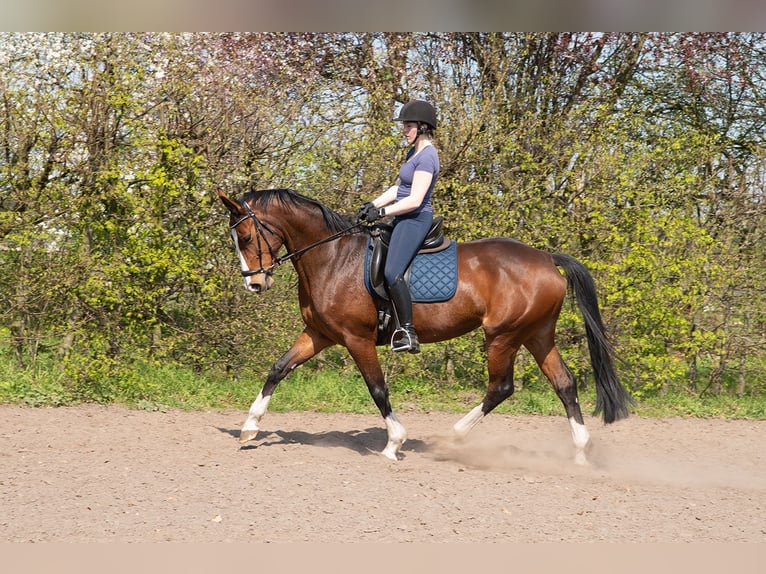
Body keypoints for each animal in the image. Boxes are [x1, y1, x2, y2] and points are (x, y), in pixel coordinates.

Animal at [218, 187, 636, 466]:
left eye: (245, 236)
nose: (254, 284)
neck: (332, 258)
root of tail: (548, 259)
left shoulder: (356, 339)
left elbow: (377, 388)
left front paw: (394, 444)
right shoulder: (320, 335)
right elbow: (278, 368)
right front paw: (249, 427)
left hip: (503, 336)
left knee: (501, 387)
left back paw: (452, 437)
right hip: (537, 334)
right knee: (564, 383)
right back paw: (580, 452)